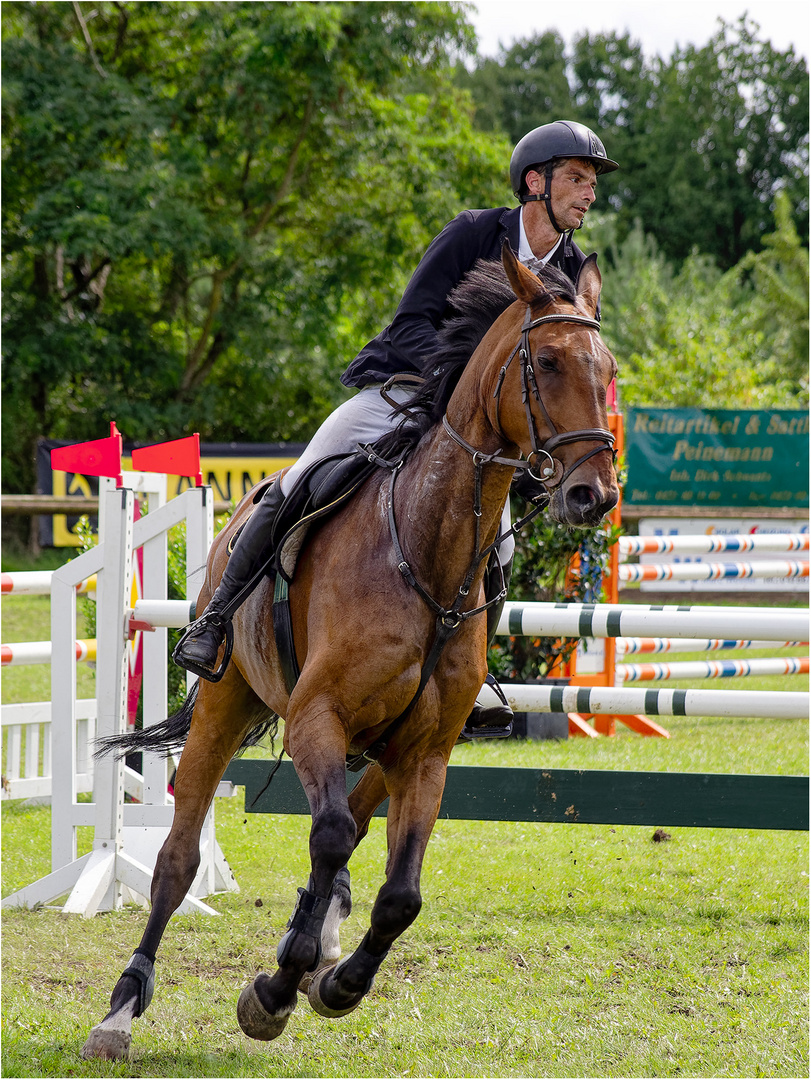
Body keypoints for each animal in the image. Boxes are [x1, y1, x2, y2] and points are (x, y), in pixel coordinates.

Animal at [82, 240, 617, 1058]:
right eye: (549, 362)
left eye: (608, 369)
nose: (595, 495)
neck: (424, 552)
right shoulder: (316, 717)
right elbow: (327, 835)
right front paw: (272, 992)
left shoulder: (426, 750)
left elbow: (398, 895)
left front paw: (332, 983)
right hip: (227, 699)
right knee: (180, 858)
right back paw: (121, 1010)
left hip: (382, 745)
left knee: (350, 833)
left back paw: (316, 942)